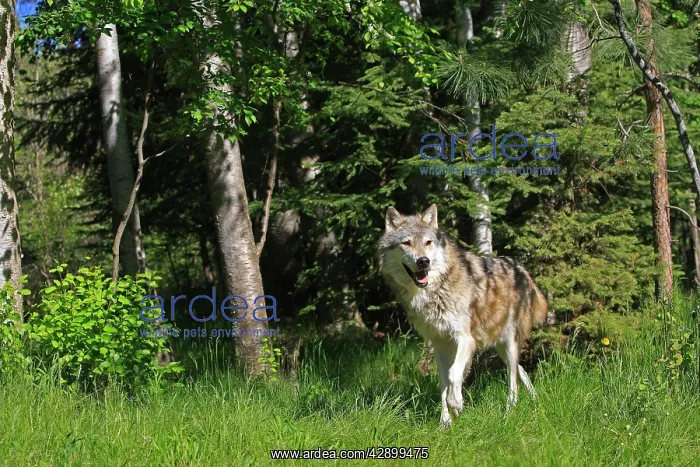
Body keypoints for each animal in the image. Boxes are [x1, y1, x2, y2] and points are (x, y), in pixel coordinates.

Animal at [378, 204, 548, 427]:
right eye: (406, 243)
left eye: (428, 242)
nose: (423, 261)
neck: (436, 290)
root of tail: (521, 269)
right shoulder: (439, 344)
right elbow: (443, 384)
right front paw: (445, 423)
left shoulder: (465, 339)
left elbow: (453, 375)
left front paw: (457, 404)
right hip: (500, 345)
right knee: (522, 371)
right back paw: (535, 402)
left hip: (509, 344)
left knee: (513, 381)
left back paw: (509, 414)